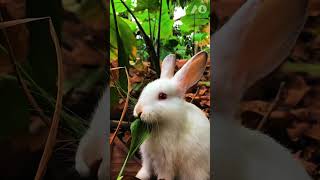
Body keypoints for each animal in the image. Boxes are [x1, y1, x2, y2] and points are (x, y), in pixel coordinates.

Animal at [134, 51, 211, 179]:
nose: (138, 111)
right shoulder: (147, 157)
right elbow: (146, 169)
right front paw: (139, 176)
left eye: (162, 96)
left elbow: (164, 175)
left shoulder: (165, 161)